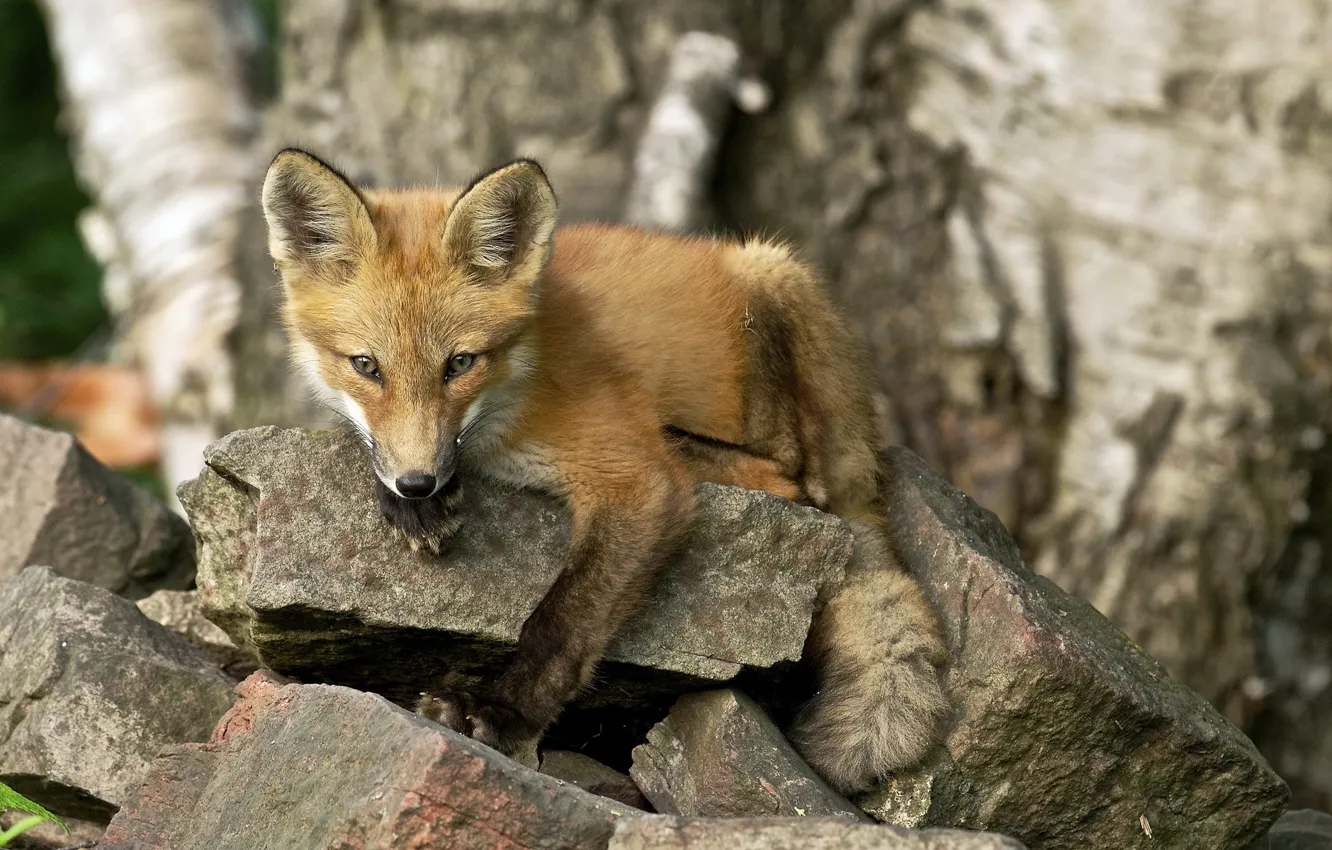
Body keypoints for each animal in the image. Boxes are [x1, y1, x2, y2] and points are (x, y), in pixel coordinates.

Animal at [259, 148, 950, 794]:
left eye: (459, 363)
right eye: (366, 366)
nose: (418, 482)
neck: (515, 391)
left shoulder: (634, 481)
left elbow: (562, 622)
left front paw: (504, 714)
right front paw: (412, 502)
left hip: (770, 283)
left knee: (792, 475)